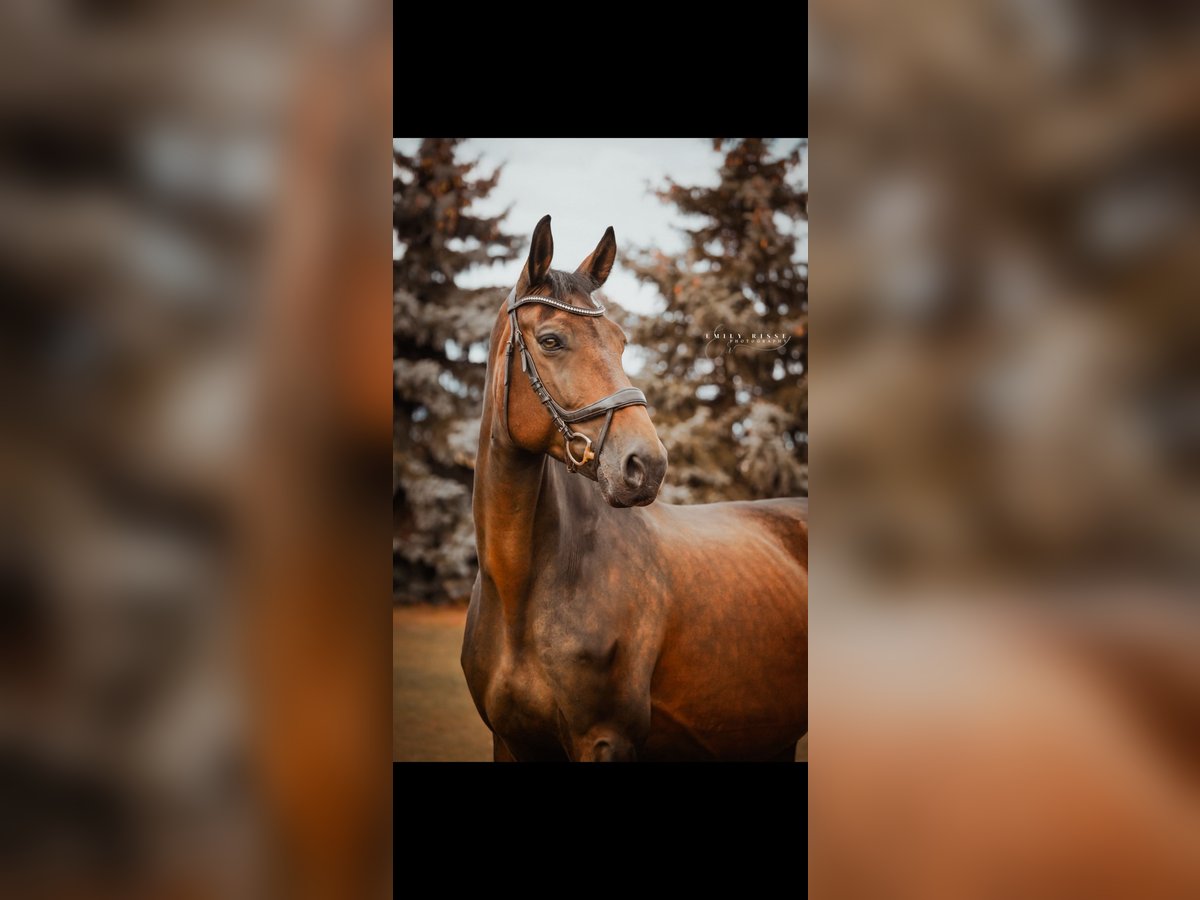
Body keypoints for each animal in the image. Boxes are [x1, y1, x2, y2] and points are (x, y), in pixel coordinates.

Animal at [458, 218, 806, 763]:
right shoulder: (509, 741)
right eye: (551, 340)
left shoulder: (604, 739)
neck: (518, 591)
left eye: (622, 341)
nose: (648, 465)